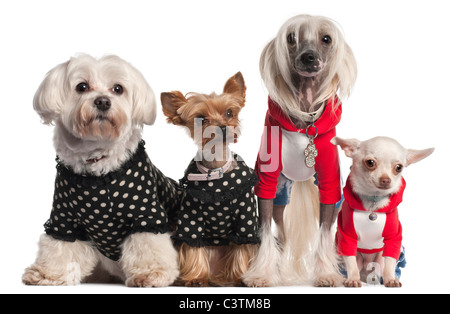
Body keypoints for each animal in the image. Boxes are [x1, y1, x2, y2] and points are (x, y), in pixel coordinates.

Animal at [22, 54, 180, 288]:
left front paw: (151, 273)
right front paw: (47, 274)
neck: (98, 169)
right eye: (82, 86)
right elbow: (59, 248)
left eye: (118, 89)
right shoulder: (64, 218)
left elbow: (148, 244)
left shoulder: (146, 214)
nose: (103, 101)